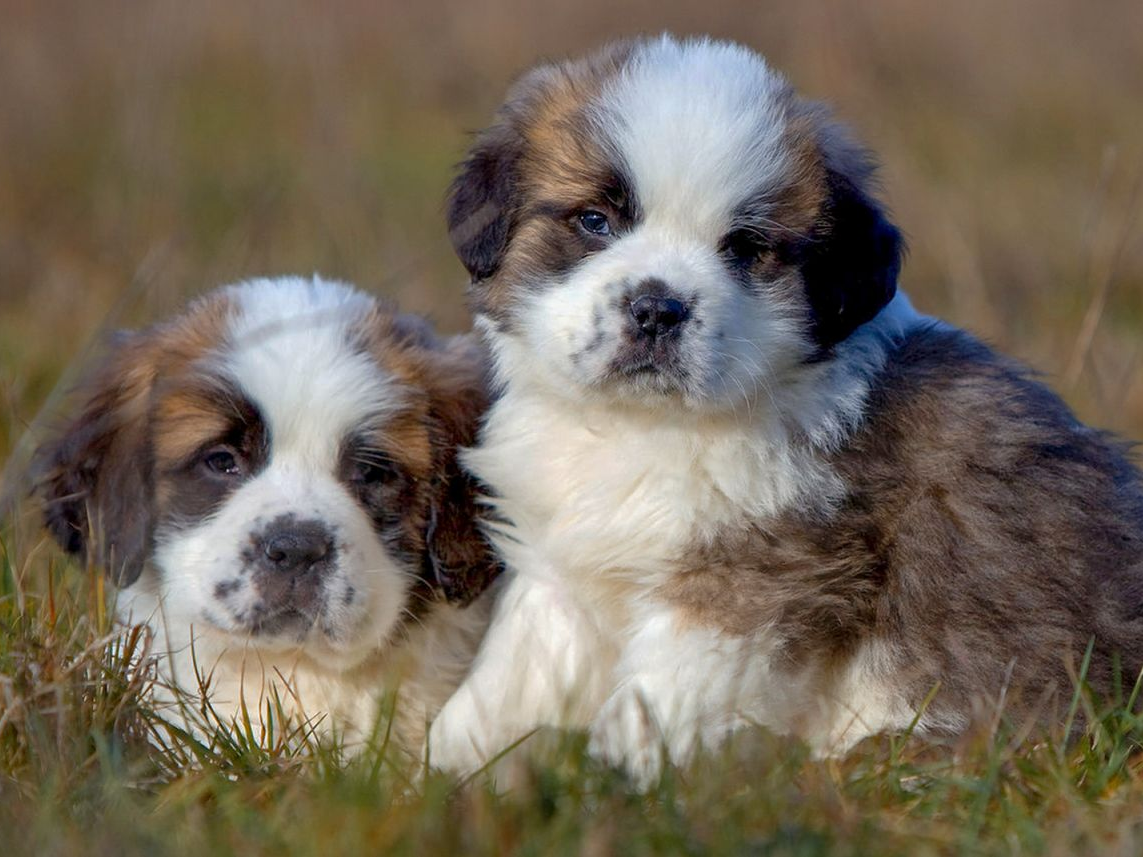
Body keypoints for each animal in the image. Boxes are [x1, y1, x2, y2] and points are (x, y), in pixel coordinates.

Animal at [427, 35, 1143, 786]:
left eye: (744, 248)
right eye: (594, 221)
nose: (657, 309)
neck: (645, 428)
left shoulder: (749, 575)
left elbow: (663, 697)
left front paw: (628, 780)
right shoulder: (565, 559)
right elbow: (519, 668)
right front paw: (452, 768)